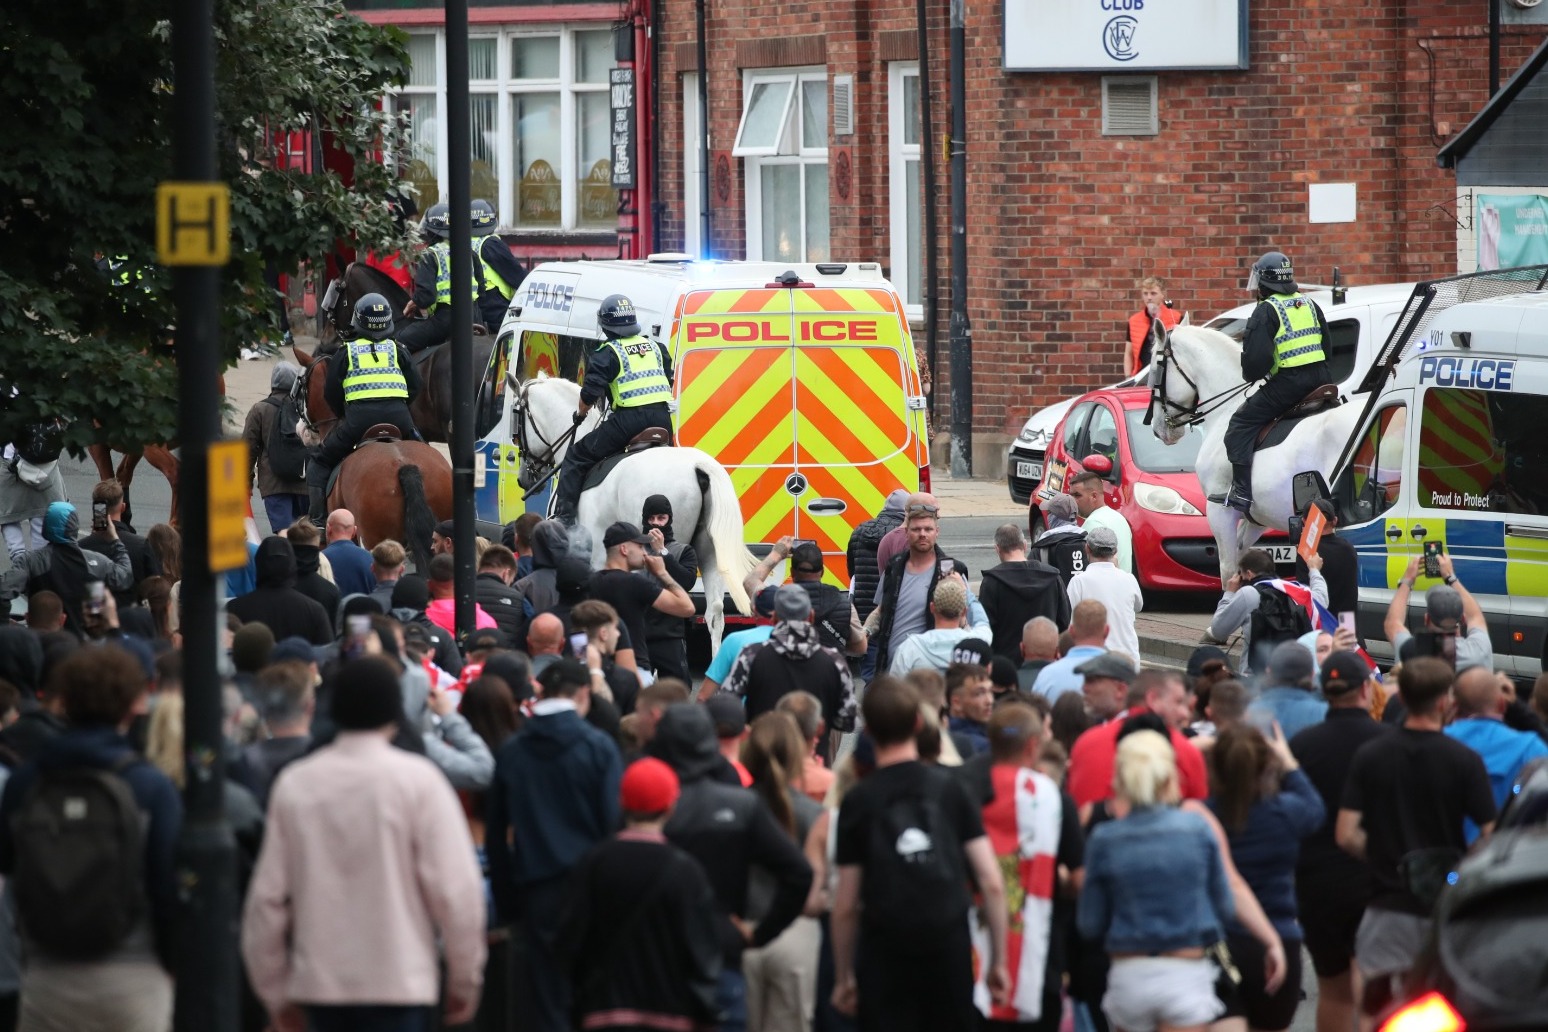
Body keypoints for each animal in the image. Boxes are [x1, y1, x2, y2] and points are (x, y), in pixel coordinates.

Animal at [1145, 326, 1362, 584]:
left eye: (1155, 369)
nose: (1158, 429)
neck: (1227, 409)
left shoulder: (1220, 511)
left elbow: (1229, 570)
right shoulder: (1258, 519)